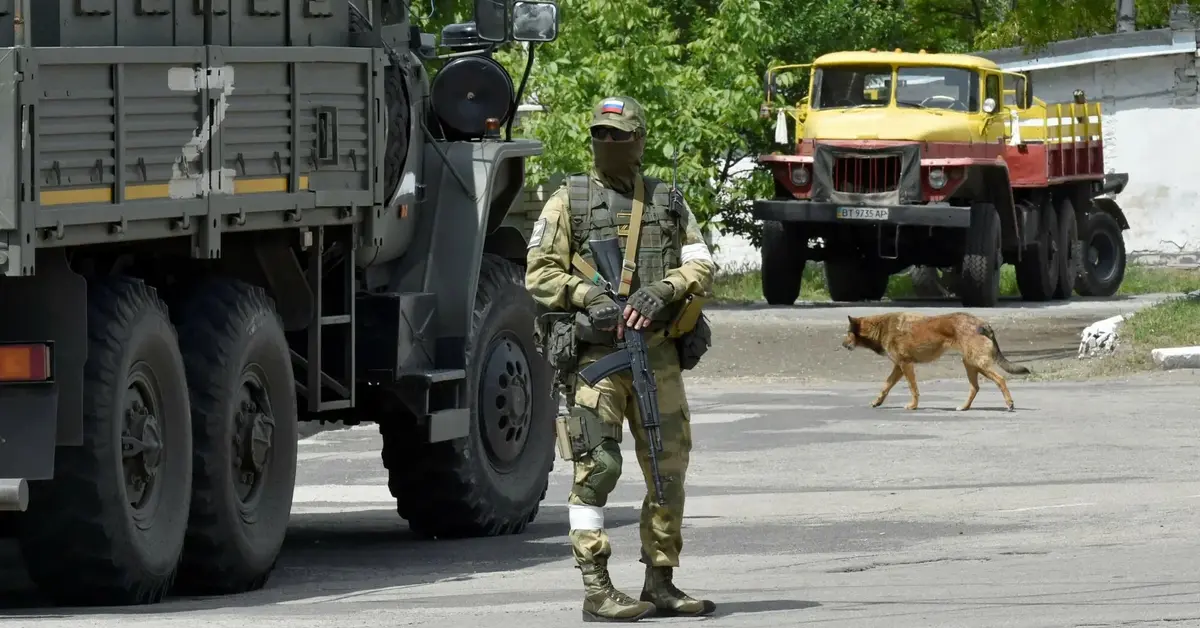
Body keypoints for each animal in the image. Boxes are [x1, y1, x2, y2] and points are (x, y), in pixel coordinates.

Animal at [844, 312, 1032, 413]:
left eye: (847, 333)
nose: (842, 344)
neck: (880, 327)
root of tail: (983, 323)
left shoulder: (905, 365)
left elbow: (913, 389)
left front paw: (913, 406)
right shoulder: (898, 367)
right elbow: (885, 386)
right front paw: (877, 402)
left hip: (978, 363)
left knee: (1000, 380)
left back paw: (1009, 404)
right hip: (970, 363)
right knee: (975, 387)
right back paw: (964, 407)